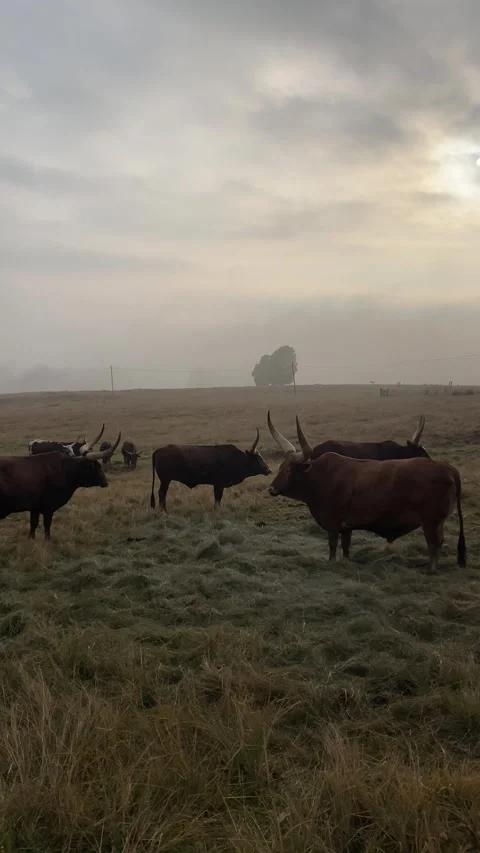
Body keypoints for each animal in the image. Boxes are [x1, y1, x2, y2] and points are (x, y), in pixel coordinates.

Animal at [267, 412, 466, 574]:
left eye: (289, 470)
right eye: (281, 467)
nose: (271, 489)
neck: (320, 476)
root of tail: (446, 468)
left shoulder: (333, 524)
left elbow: (332, 545)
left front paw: (331, 563)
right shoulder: (346, 526)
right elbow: (346, 546)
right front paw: (345, 562)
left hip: (431, 522)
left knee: (434, 543)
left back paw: (432, 569)